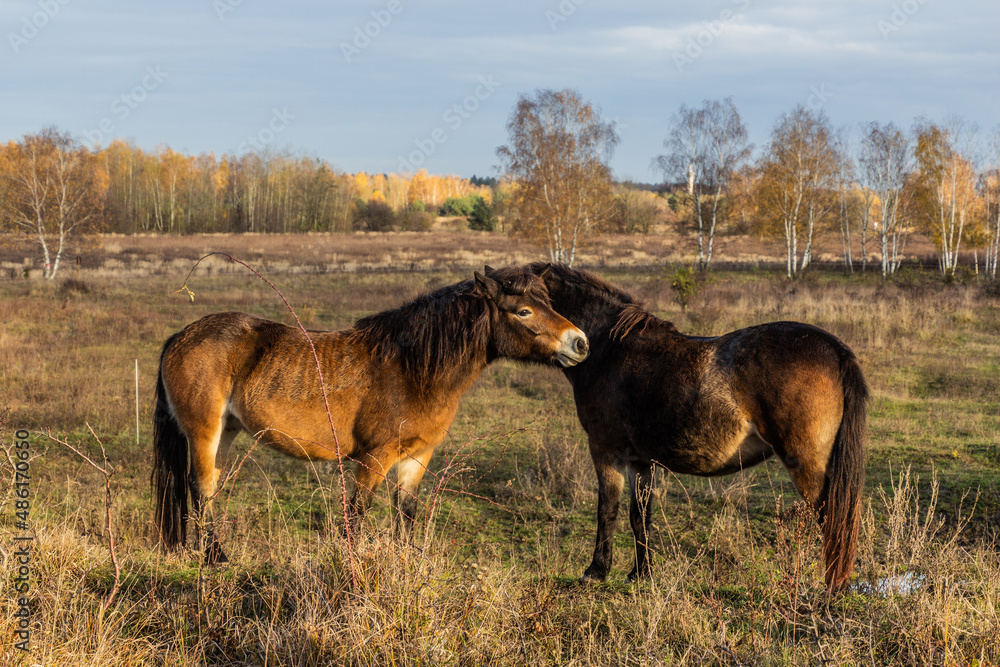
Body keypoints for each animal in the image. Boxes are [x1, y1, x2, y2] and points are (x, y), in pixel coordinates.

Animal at [152, 265, 589, 562]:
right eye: (523, 311)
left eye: (549, 304)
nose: (580, 343)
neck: (413, 367)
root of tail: (180, 337)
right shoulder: (374, 457)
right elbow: (358, 512)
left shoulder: (417, 456)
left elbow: (405, 511)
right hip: (204, 432)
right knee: (200, 487)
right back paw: (215, 557)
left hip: (227, 431)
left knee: (209, 487)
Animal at [529, 263, 868, 592]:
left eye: (531, 307)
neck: (610, 349)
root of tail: (834, 349)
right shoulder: (641, 461)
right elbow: (640, 516)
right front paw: (641, 574)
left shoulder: (605, 451)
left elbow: (607, 509)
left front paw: (596, 571)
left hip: (806, 465)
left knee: (832, 520)